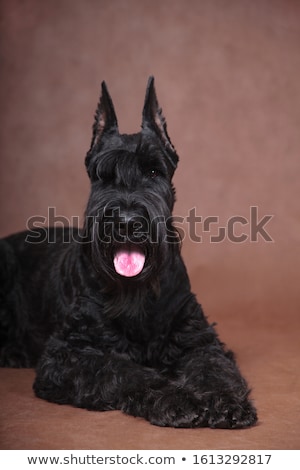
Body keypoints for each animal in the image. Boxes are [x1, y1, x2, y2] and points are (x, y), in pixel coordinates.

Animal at [0, 78, 258, 430]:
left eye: (153, 172)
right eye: (103, 176)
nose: (126, 222)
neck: (136, 292)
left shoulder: (198, 339)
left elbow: (213, 369)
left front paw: (226, 402)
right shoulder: (69, 355)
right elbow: (124, 371)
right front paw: (174, 398)